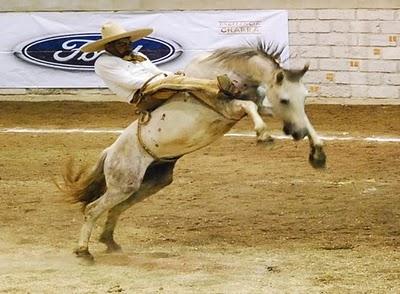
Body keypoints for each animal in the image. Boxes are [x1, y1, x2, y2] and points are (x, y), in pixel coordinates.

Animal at [61, 42, 324, 262]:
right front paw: (264, 136)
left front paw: (318, 153)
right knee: (92, 209)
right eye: (285, 99)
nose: (296, 133)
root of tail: (110, 151)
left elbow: (292, 116)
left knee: (116, 207)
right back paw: (84, 252)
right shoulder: (229, 107)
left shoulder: (255, 106)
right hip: (123, 183)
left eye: (304, 97)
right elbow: (248, 105)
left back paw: (110, 242)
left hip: (151, 182)